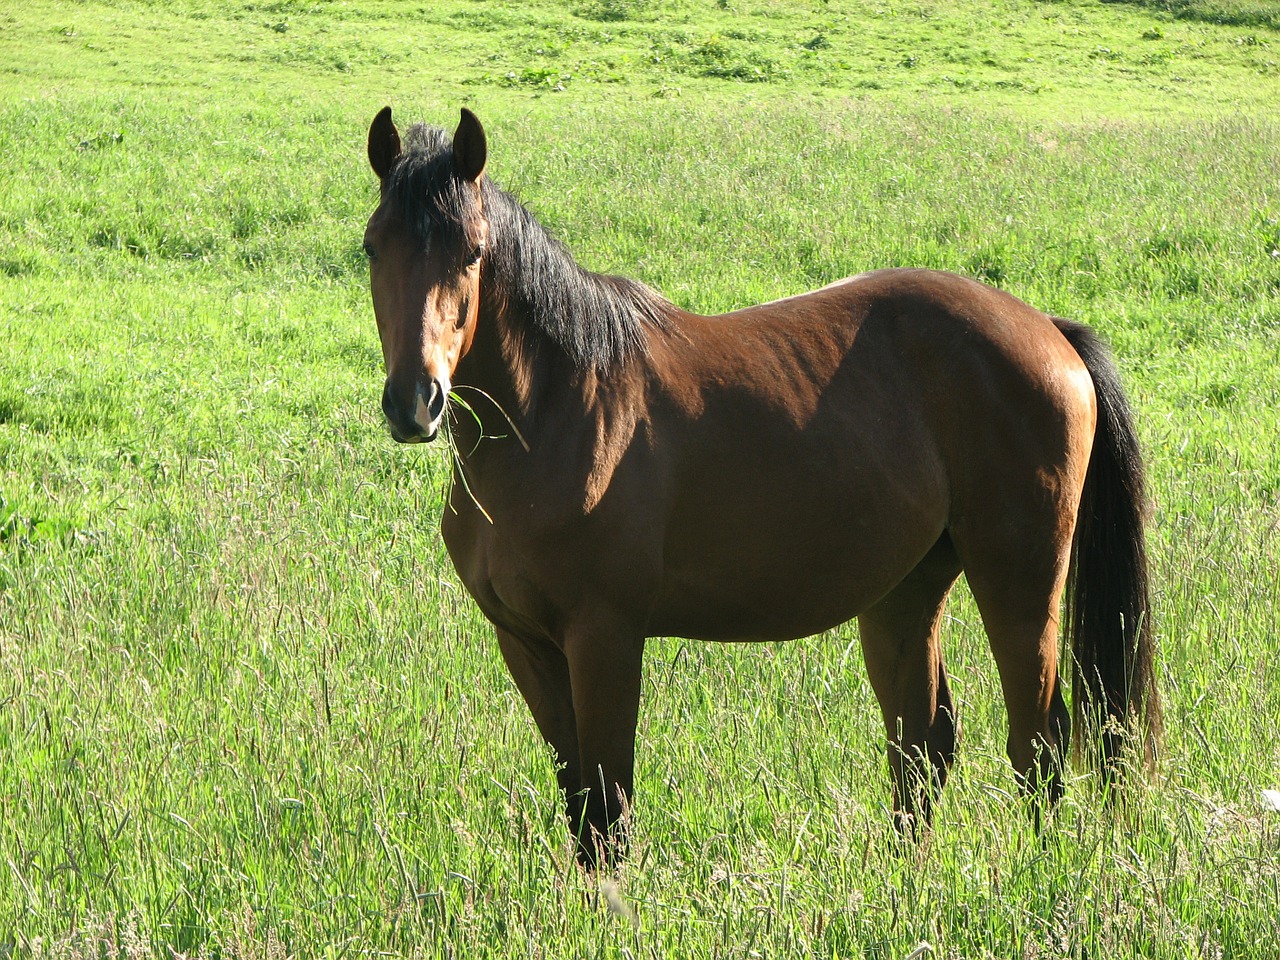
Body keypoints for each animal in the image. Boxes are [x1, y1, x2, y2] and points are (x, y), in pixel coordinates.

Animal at [358, 106, 1162, 870]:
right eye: (373, 247)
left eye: (472, 252)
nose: (414, 403)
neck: (558, 412)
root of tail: (1049, 331)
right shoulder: (524, 641)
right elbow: (579, 798)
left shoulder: (604, 637)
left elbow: (609, 806)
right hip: (906, 588)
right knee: (923, 745)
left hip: (1020, 582)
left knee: (1039, 741)